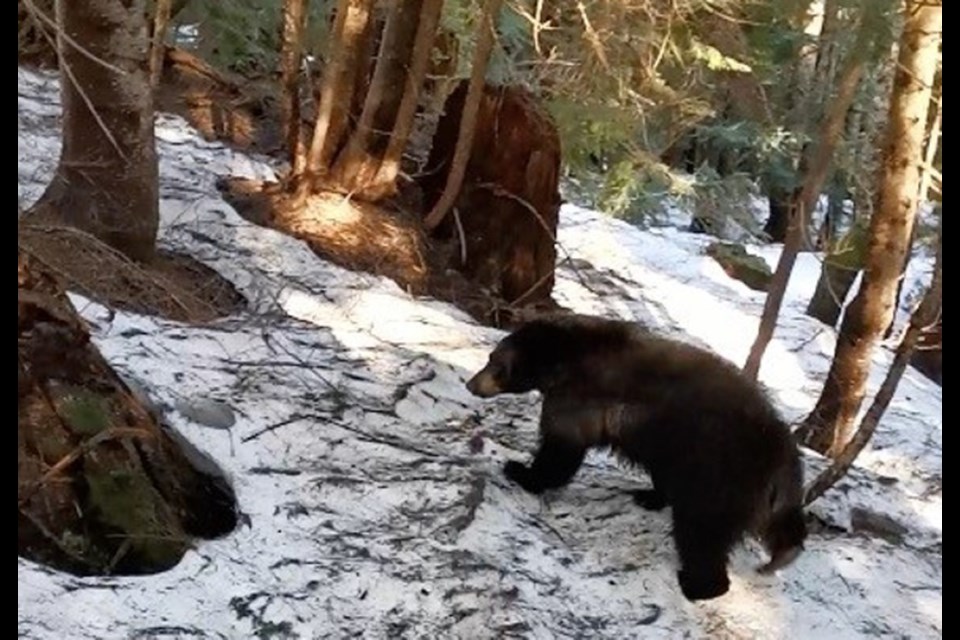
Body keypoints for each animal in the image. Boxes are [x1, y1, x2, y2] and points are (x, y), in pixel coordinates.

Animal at [464, 314, 804, 600]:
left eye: (494, 361)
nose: (471, 383)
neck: (564, 357)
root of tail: (782, 454)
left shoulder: (578, 398)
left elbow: (561, 450)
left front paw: (521, 471)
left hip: (721, 472)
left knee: (701, 530)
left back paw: (697, 584)